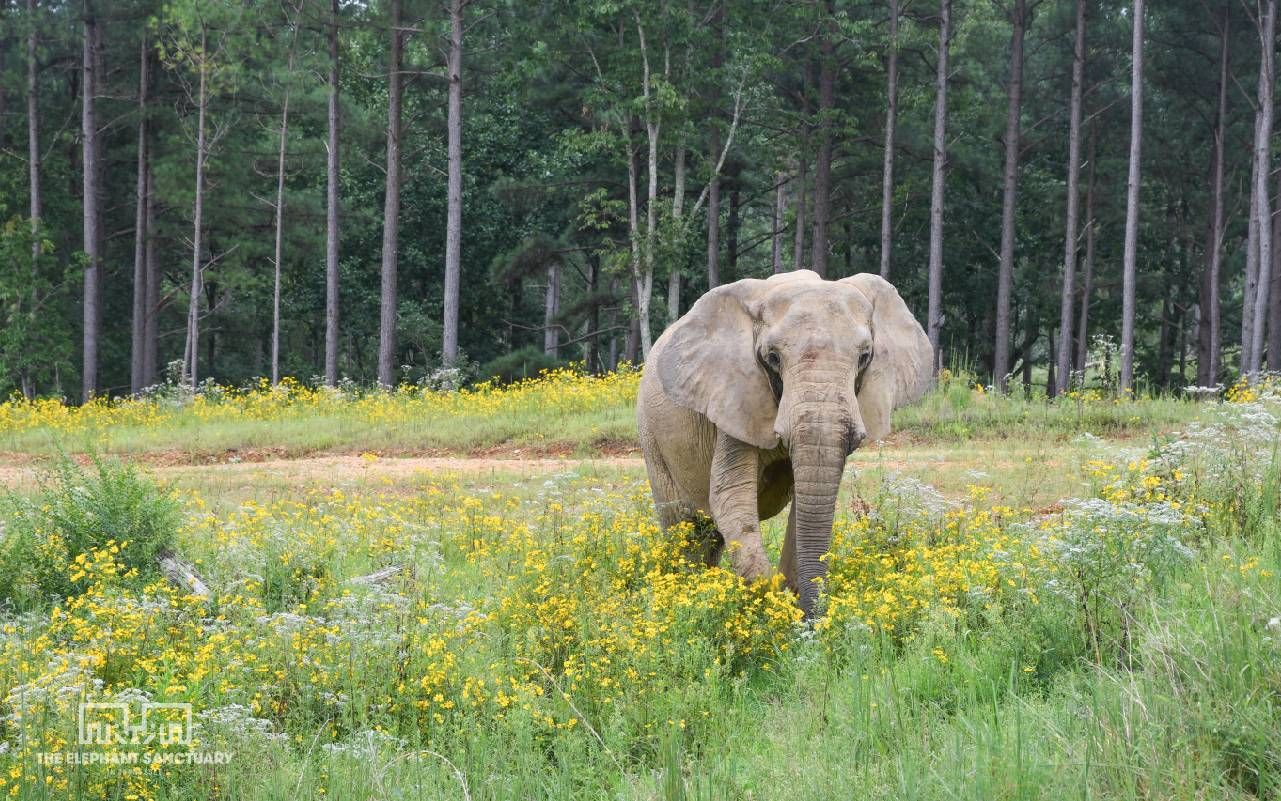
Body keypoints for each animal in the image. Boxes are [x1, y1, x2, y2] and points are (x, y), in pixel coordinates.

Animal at [637, 270, 932, 617]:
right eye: (773, 358)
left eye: (864, 357)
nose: (814, 622)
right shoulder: (734, 398)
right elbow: (730, 497)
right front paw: (773, 602)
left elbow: (807, 506)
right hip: (651, 439)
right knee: (683, 529)